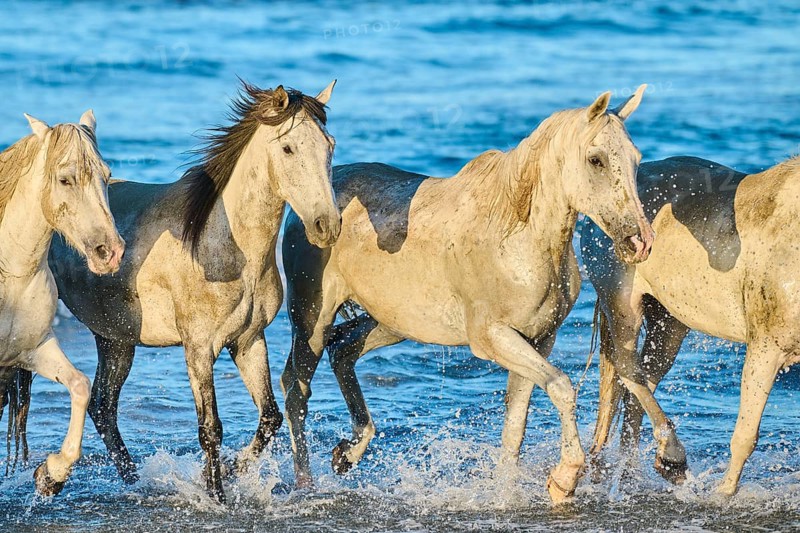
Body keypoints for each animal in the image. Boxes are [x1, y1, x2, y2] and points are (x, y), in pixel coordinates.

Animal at [0, 112, 124, 495]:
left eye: (106, 176)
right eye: (65, 179)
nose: (109, 252)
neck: (10, 274)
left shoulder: (32, 350)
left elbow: (80, 386)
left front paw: (52, 474)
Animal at [47, 81, 340, 502]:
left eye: (329, 145)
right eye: (288, 148)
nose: (326, 226)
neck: (220, 246)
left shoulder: (248, 340)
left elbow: (270, 415)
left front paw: (235, 470)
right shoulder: (199, 349)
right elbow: (210, 428)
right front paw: (216, 494)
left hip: (115, 339)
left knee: (103, 407)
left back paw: (135, 479)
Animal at [279, 86, 654, 504]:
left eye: (636, 159)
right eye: (596, 159)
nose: (639, 241)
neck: (518, 237)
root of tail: (308, 212)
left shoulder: (539, 340)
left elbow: (515, 429)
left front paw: (508, 493)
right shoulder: (492, 337)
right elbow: (561, 387)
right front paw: (565, 477)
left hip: (393, 322)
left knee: (342, 351)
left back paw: (349, 451)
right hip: (311, 320)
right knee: (296, 391)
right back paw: (305, 482)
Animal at [581, 155, 800, 495]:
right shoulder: (767, 348)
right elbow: (745, 436)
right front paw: (722, 495)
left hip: (668, 322)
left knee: (639, 387)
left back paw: (633, 474)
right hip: (620, 302)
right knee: (628, 371)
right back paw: (672, 458)